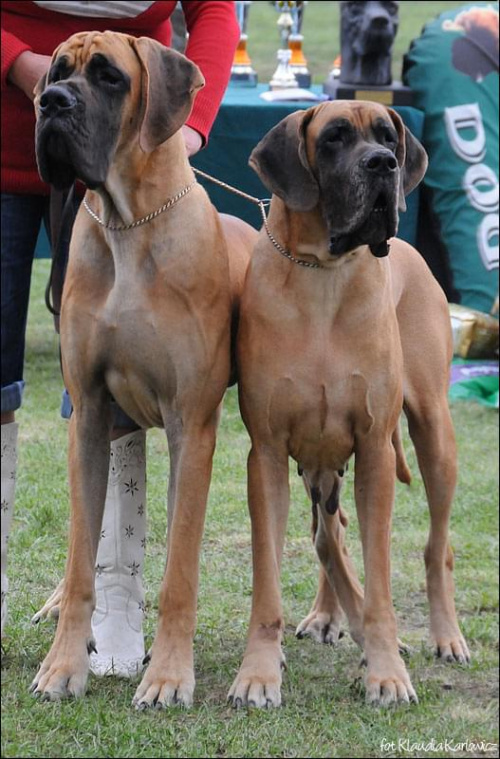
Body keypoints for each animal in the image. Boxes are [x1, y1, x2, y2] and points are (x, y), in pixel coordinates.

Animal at [230, 99, 468, 708]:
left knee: (436, 547)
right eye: (334, 137)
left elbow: (380, 578)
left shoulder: (375, 451)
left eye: (388, 136)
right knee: (327, 535)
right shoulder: (267, 455)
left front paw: (386, 671)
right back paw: (328, 614)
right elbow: (269, 576)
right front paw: (258, 672)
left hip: (433, 435)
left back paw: (445, 636)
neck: (324, 273)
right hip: (319, 464)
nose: (384, 164)